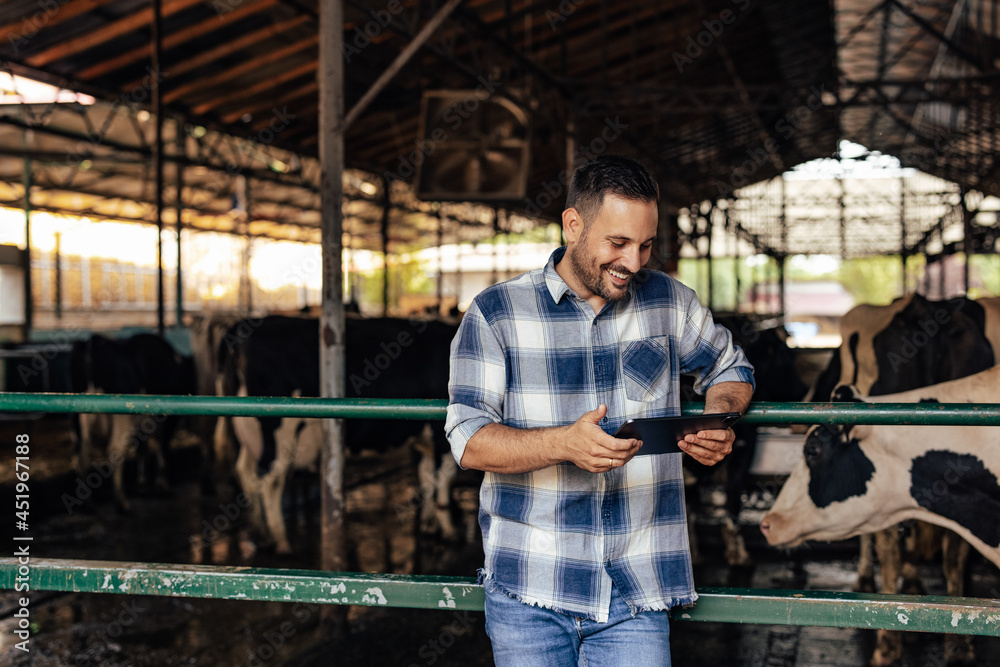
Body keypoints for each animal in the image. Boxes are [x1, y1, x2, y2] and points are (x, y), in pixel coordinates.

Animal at [70, 332, 195, 512]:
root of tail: (93, 341)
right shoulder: (165, 421)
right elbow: (161, 447)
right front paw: (162, 484)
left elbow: (142, 449)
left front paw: (142, 483)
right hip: (120, 417)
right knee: (114, 451)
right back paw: (122, 502)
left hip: (79, 419)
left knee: (82, 456)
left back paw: (89, 503)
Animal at [217, 316, 458, 556]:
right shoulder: (441, 437)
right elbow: (443, 477)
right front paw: (447, 529)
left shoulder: (426, 441)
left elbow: (427, 477)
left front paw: (429, 524)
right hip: (278, 429)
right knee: (271, 481)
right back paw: (281, 540)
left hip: (250, 432)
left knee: (246, 472)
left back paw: (262, 533)